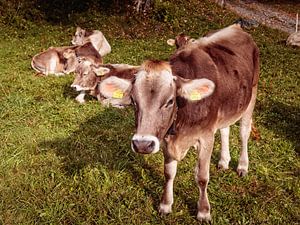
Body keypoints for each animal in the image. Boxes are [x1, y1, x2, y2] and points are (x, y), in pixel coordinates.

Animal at [99, 23, 258, 221]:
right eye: (134, 101)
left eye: (169, 101)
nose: (142, 144)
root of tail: (237, 27)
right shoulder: (165, 139)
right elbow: (169, 173)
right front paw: (165, 204)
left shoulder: (206, 137)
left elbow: (202, 177)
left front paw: (203, 211)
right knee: (225, 129)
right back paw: (223, 161)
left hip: (252, 94)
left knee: (244, 132)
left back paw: (243, 166)